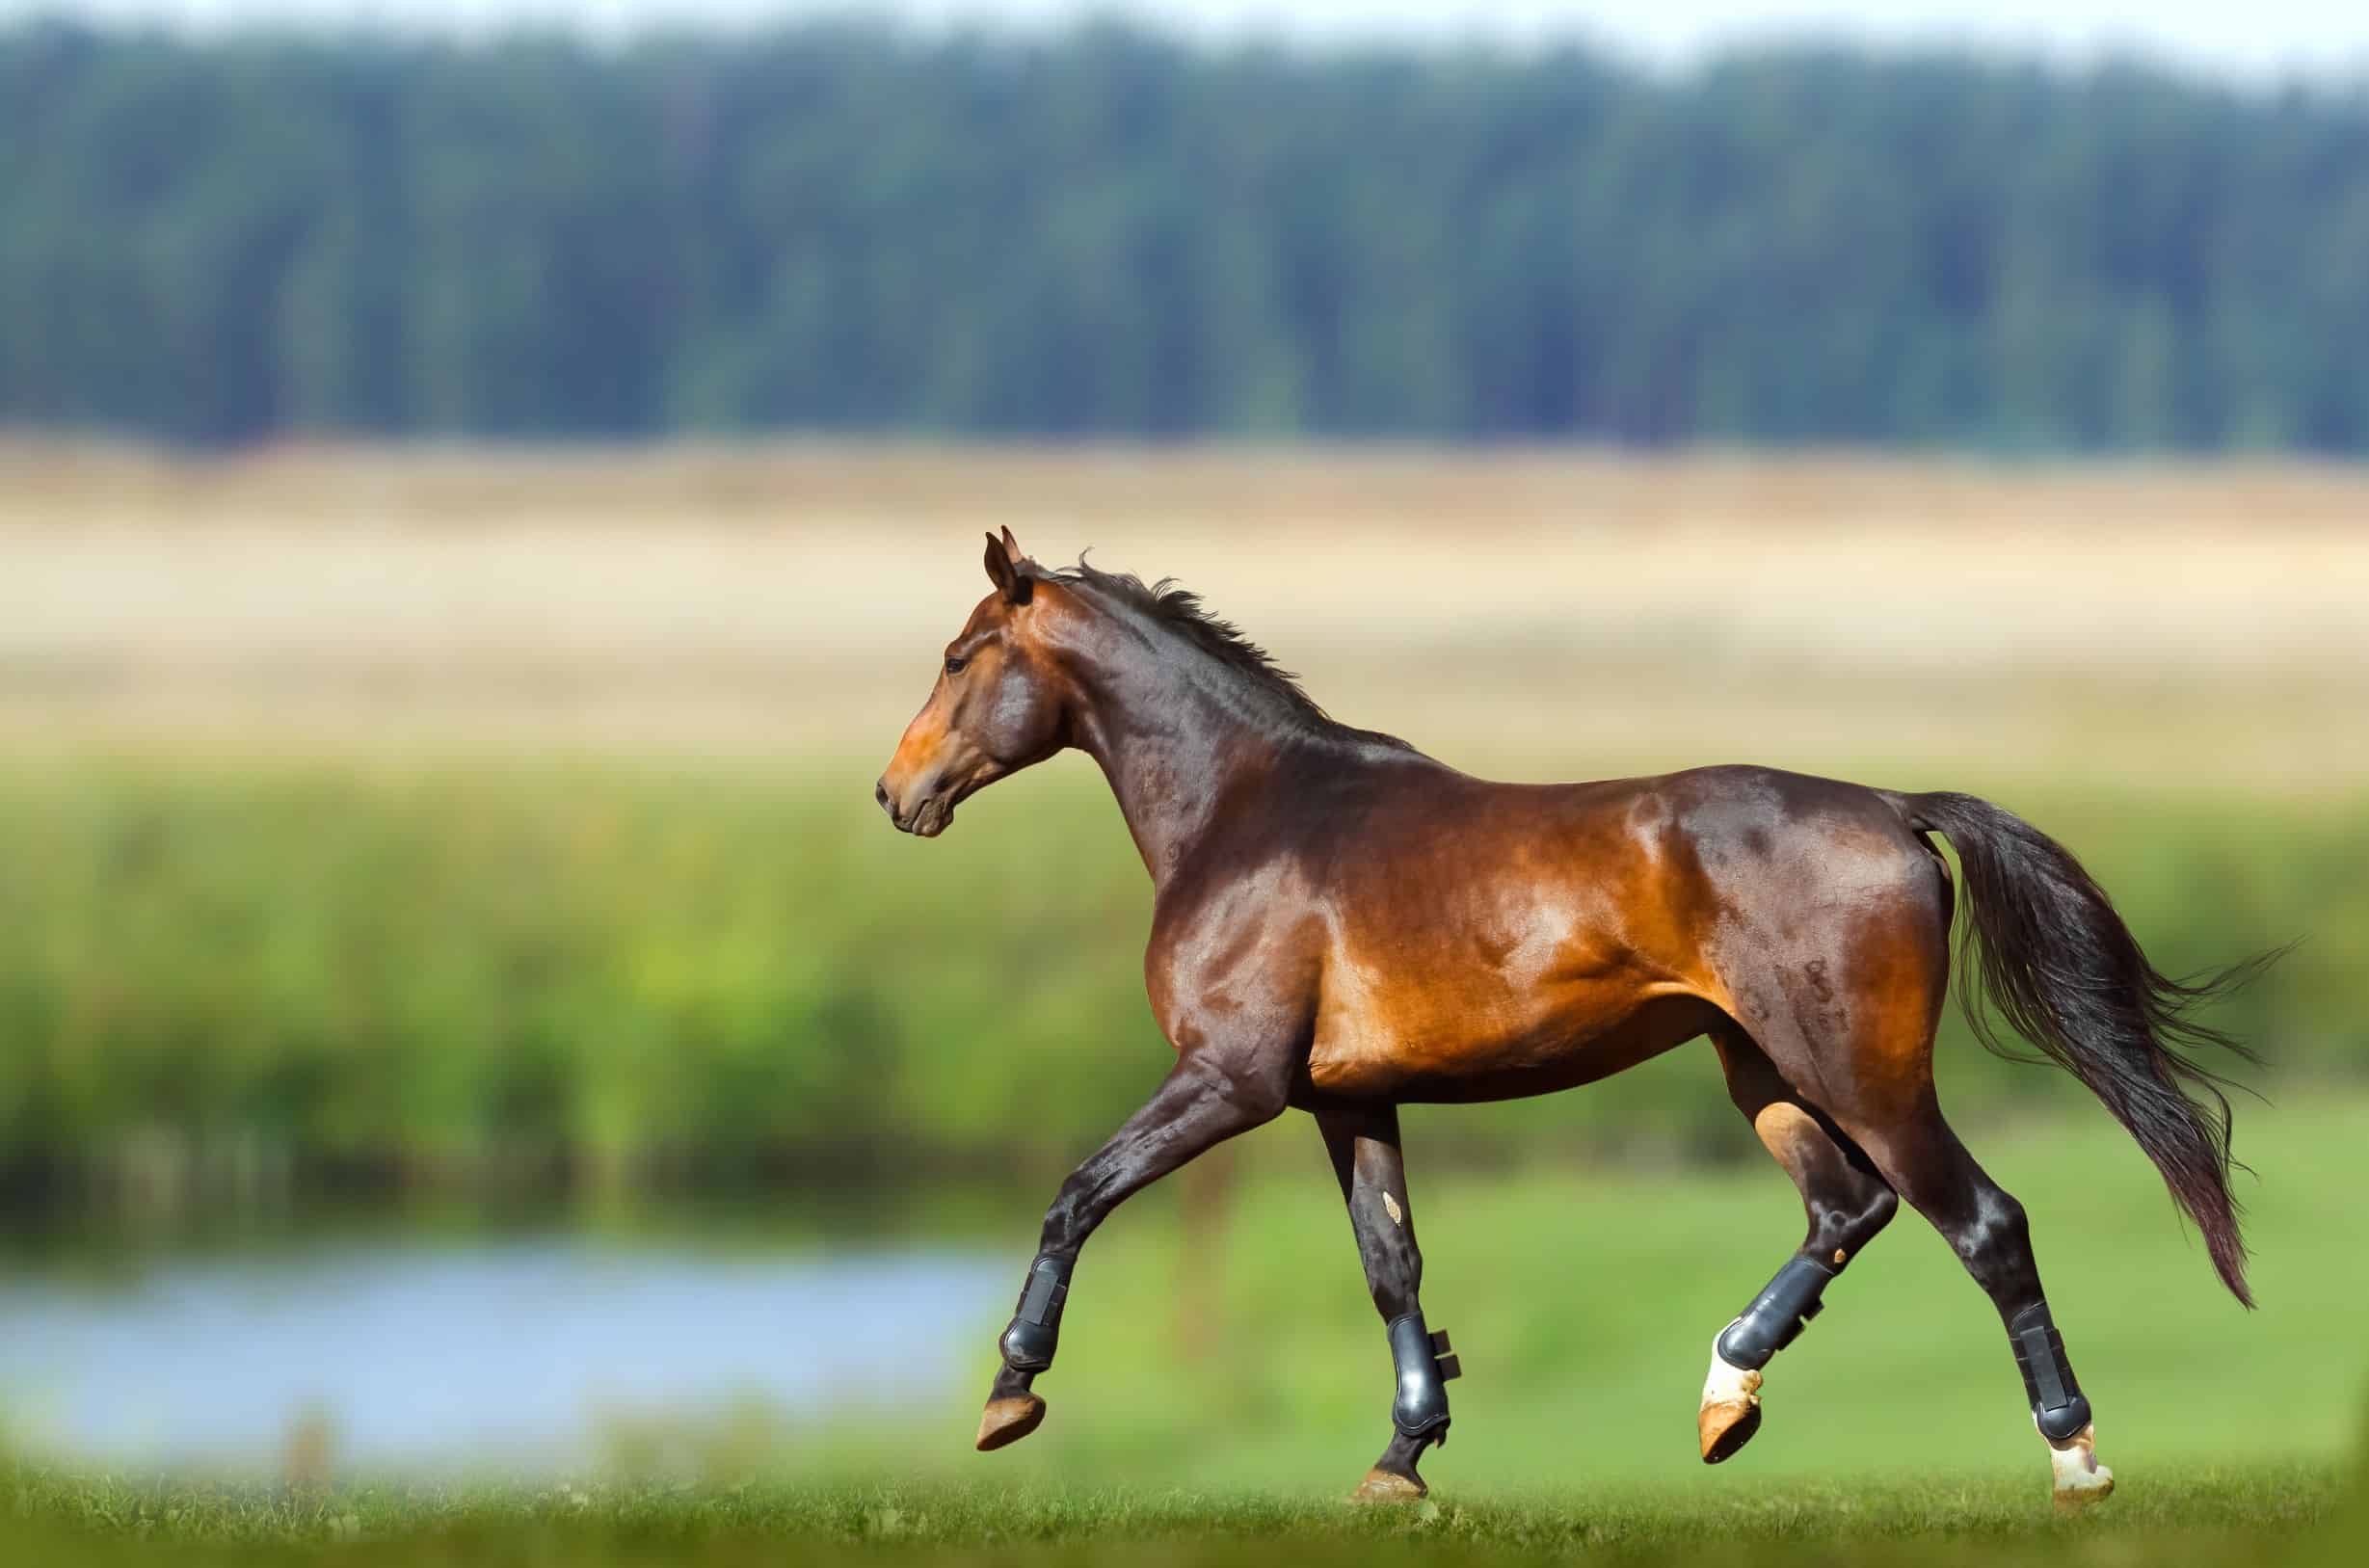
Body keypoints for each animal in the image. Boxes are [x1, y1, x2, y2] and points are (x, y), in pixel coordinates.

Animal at [871, 537, 2255, 1515]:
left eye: (958, 652)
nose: (896, 792)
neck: (1249, 813)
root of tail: (1891, 808)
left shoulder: (1229, 1079)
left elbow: (1076, 1193)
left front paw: (1008, 1393)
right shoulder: (1345, 1097)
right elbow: (1391, 1264)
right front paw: (1402, 1459)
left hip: (1861, 1073)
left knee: (1980, 1222)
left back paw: (2073, 1455)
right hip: (1760, 1069)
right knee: (1843, 1208)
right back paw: (1723, 1397)